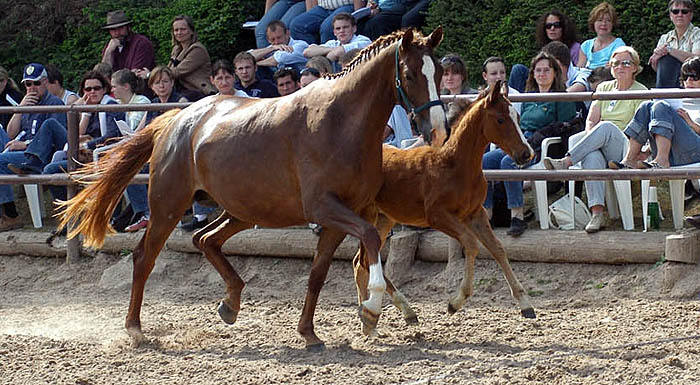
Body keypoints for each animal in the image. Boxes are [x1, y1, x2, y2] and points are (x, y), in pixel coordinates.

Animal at [356, 81, 536, 330]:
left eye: (517, 117)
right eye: (500, 119)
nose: (526, 154)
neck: (454, 164)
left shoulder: (476, 213)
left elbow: (497, 248)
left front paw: (525, 303)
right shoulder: (437, 216)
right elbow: (470, 244)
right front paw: (456, 302)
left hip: (384, 219)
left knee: (360, 262)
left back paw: (388, 313)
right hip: (366, 216)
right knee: (362, 262)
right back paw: (372, 314)